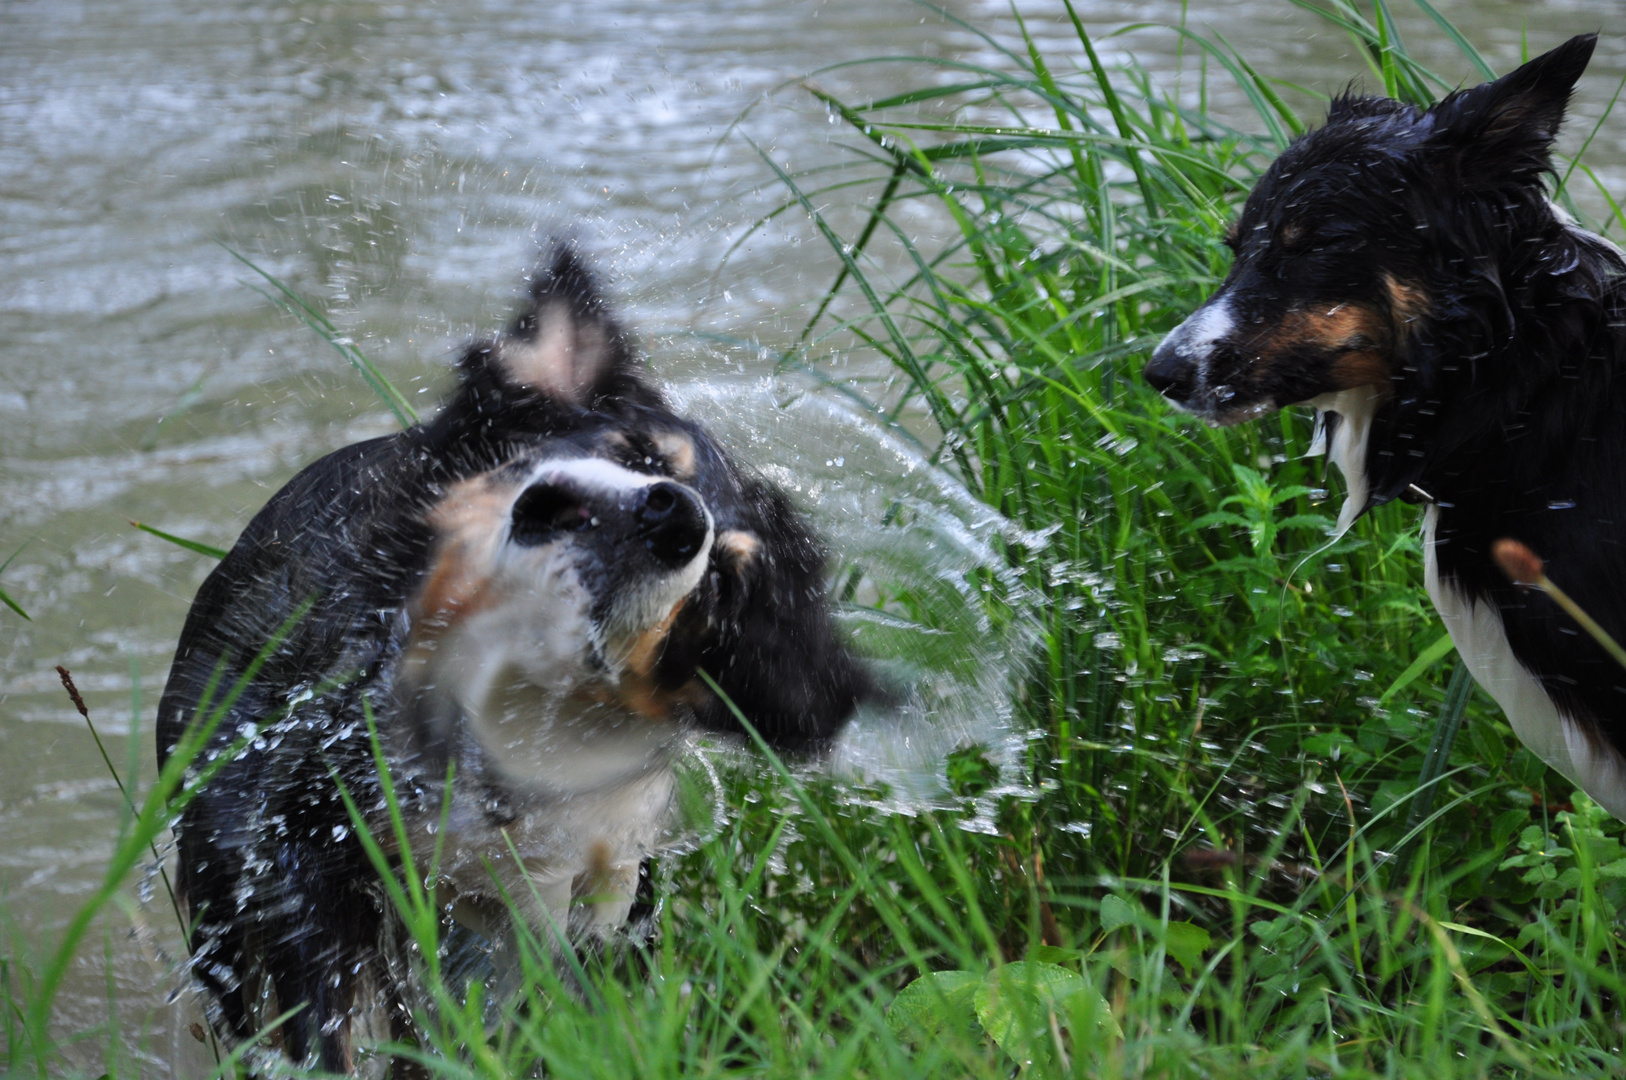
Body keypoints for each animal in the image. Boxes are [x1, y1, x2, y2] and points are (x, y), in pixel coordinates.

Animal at [160, 250, 878, 1073]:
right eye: (639, 453)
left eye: (721, 587)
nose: (679, 517)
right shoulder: (293, 844)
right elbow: (330, 1022)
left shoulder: (583, 888)